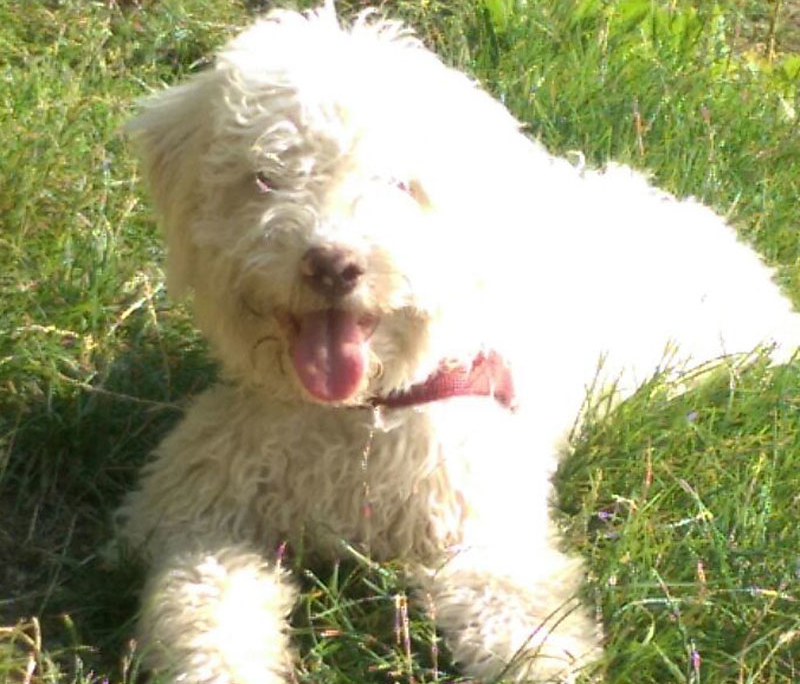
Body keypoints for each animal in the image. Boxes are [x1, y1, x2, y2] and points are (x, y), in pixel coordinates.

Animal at [115, 2, 800, 680]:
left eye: (398, 184)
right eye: (266, 176)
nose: (332, 265)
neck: (364, 415)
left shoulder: (480, 535)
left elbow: (527, 630)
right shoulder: (206, 516)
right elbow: (205, 616)